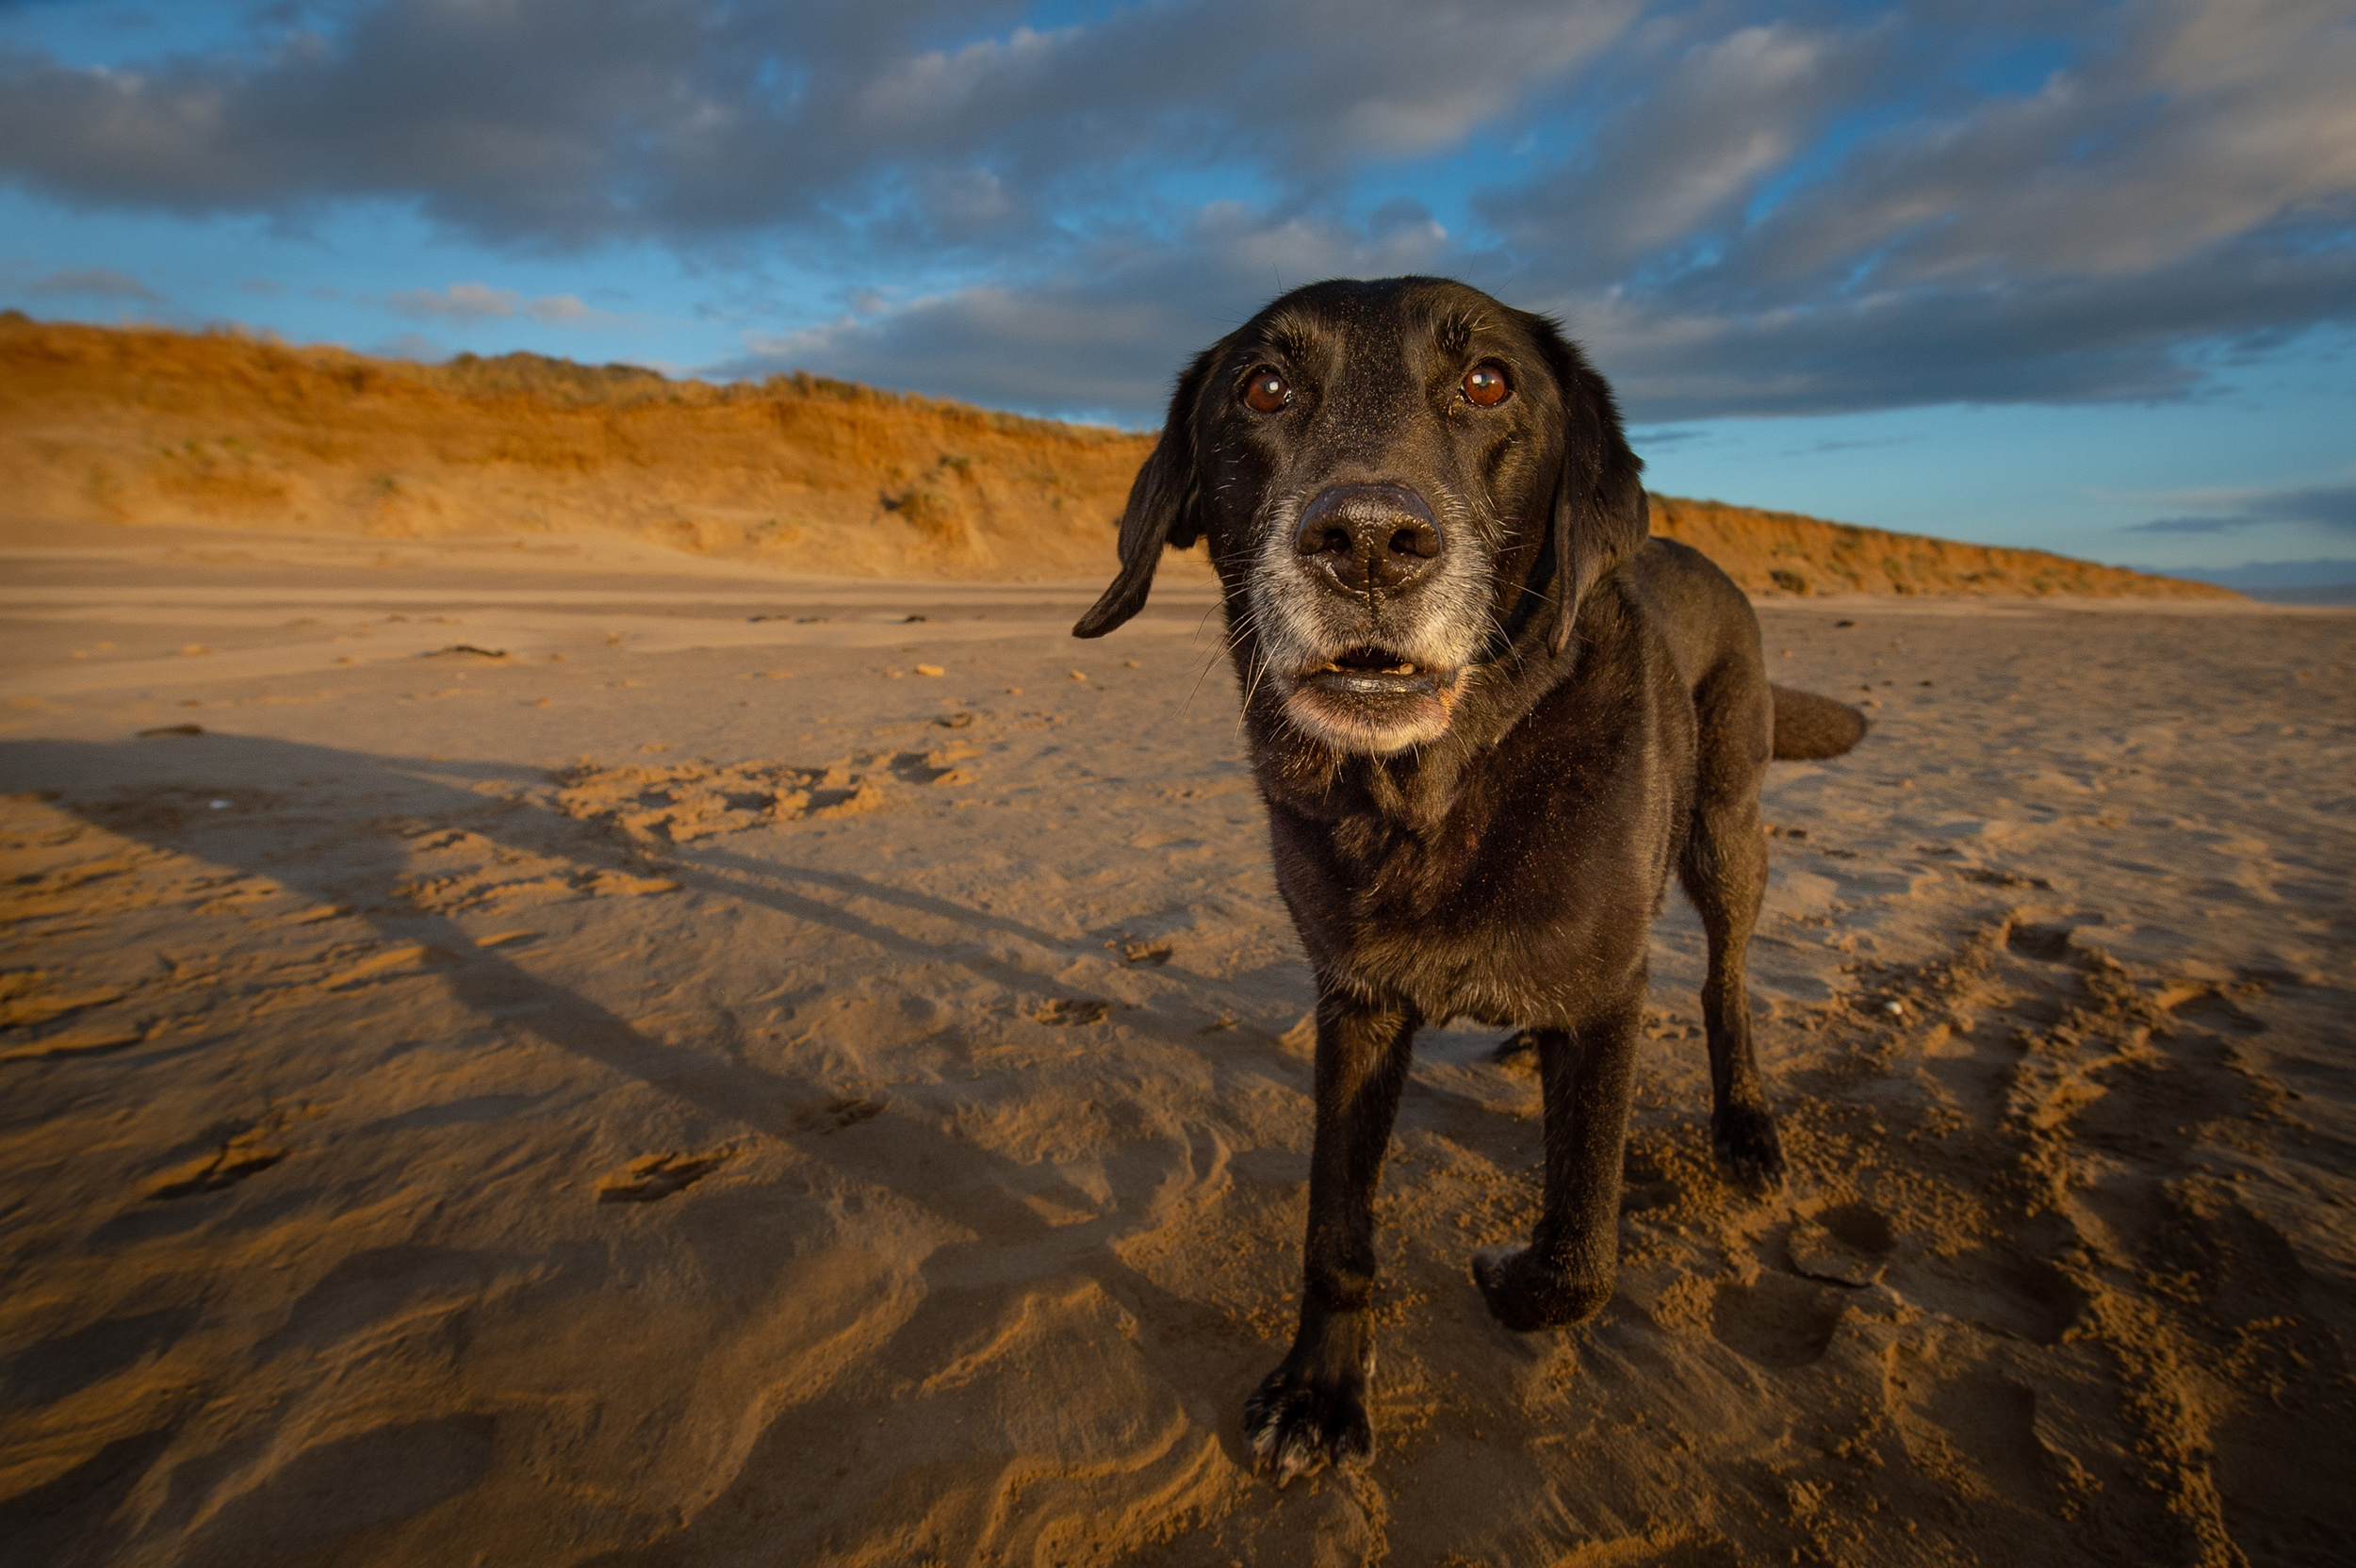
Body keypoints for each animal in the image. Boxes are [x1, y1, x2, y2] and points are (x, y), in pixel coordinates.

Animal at [1070, 274, 1857, 1488]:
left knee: (1724, 978)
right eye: (1264, 386)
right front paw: (1319, 1388)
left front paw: (1508, 1273)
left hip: (1729, 833)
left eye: (1487, 381)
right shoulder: (1355, 1004)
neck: (1431, 792)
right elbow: (1335, 1225)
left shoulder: (1609, 998)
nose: (1367, 543)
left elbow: (1582, 1243)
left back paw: (1745, 1125)